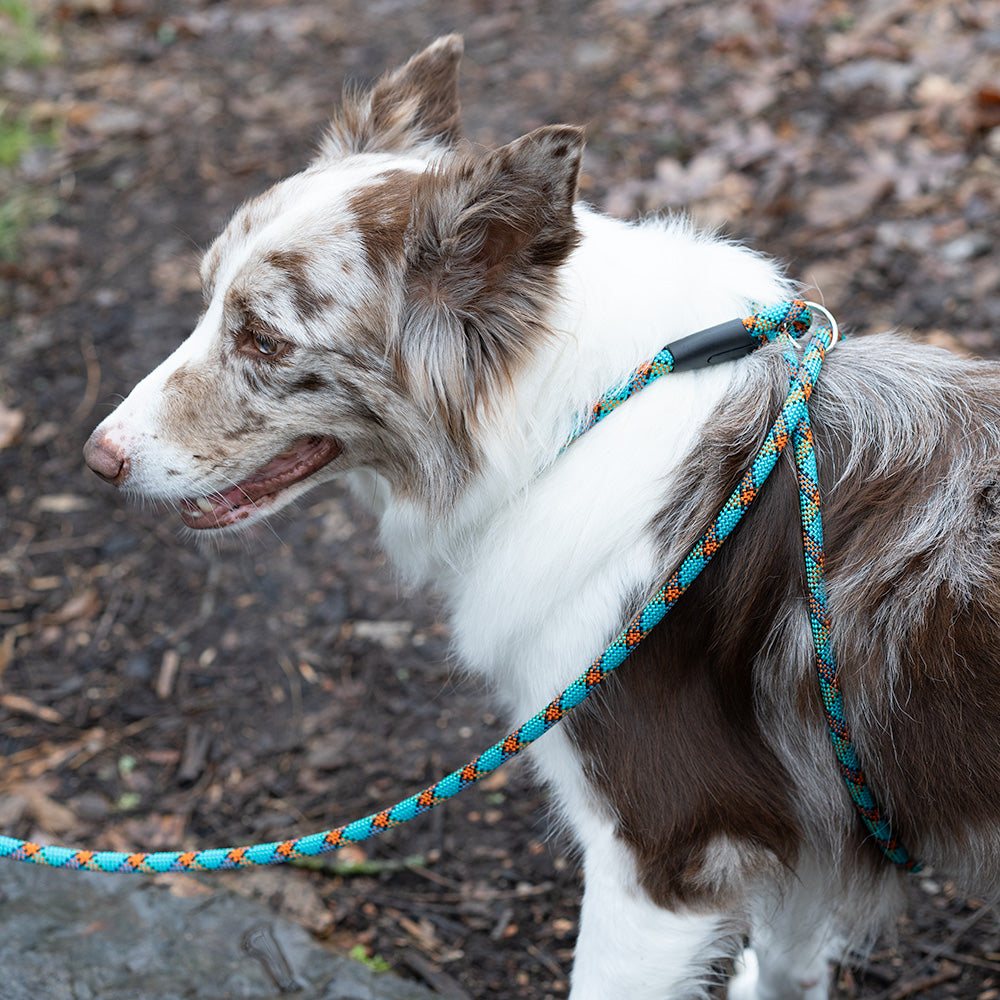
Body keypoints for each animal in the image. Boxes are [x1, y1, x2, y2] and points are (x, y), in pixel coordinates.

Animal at [80, 33, 1000, 1000]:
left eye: (263, 340)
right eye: (205, 298)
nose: (99, 455)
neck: (574, 421)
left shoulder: (666, 851)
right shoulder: (802, 820)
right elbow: (790, 955)